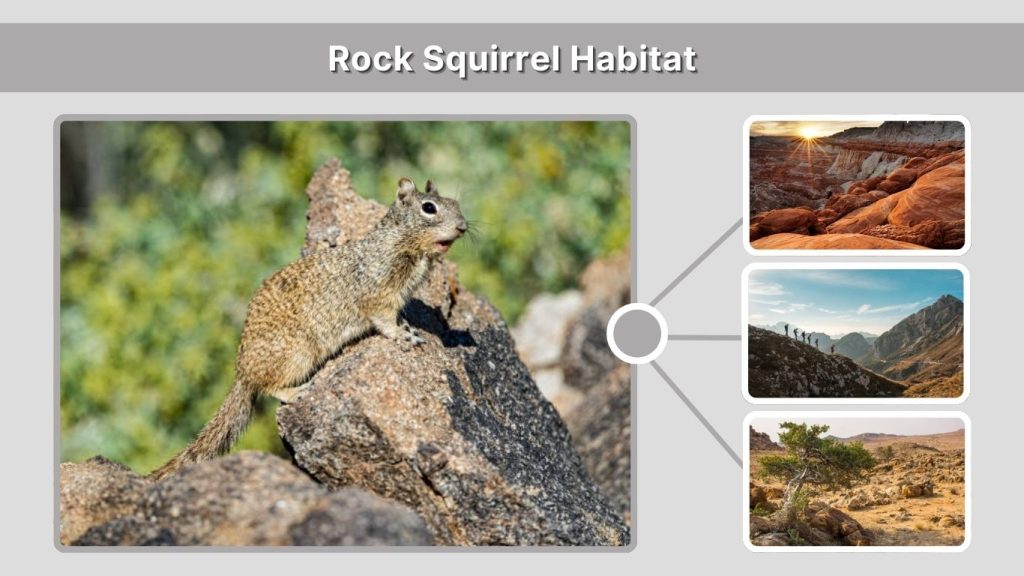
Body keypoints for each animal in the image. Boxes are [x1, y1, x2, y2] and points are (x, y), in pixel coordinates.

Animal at [148, 177, 468, 480]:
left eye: (455, 203)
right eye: (429, 208)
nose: (464, 227)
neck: (403, 243)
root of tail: (242, 373)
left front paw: (407, 327)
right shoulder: (378, 294)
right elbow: (384, 321)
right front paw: (403, 335)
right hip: (298, 355)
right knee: (269, 387)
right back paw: (297, 393)